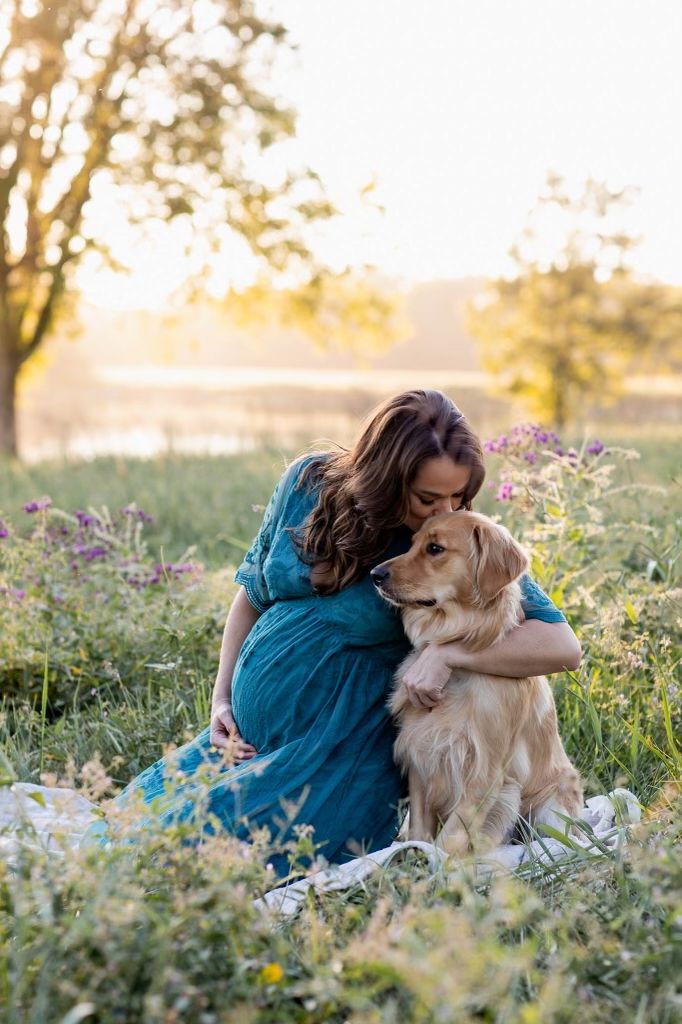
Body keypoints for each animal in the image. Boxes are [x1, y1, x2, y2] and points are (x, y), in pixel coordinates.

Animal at [368, 512, 581, 856]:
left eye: (435, 548)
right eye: (411, 543)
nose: (375, 574)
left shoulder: (485, 771)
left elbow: (450, 839)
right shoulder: (420, 754)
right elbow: (420, 832)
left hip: (553, 803)